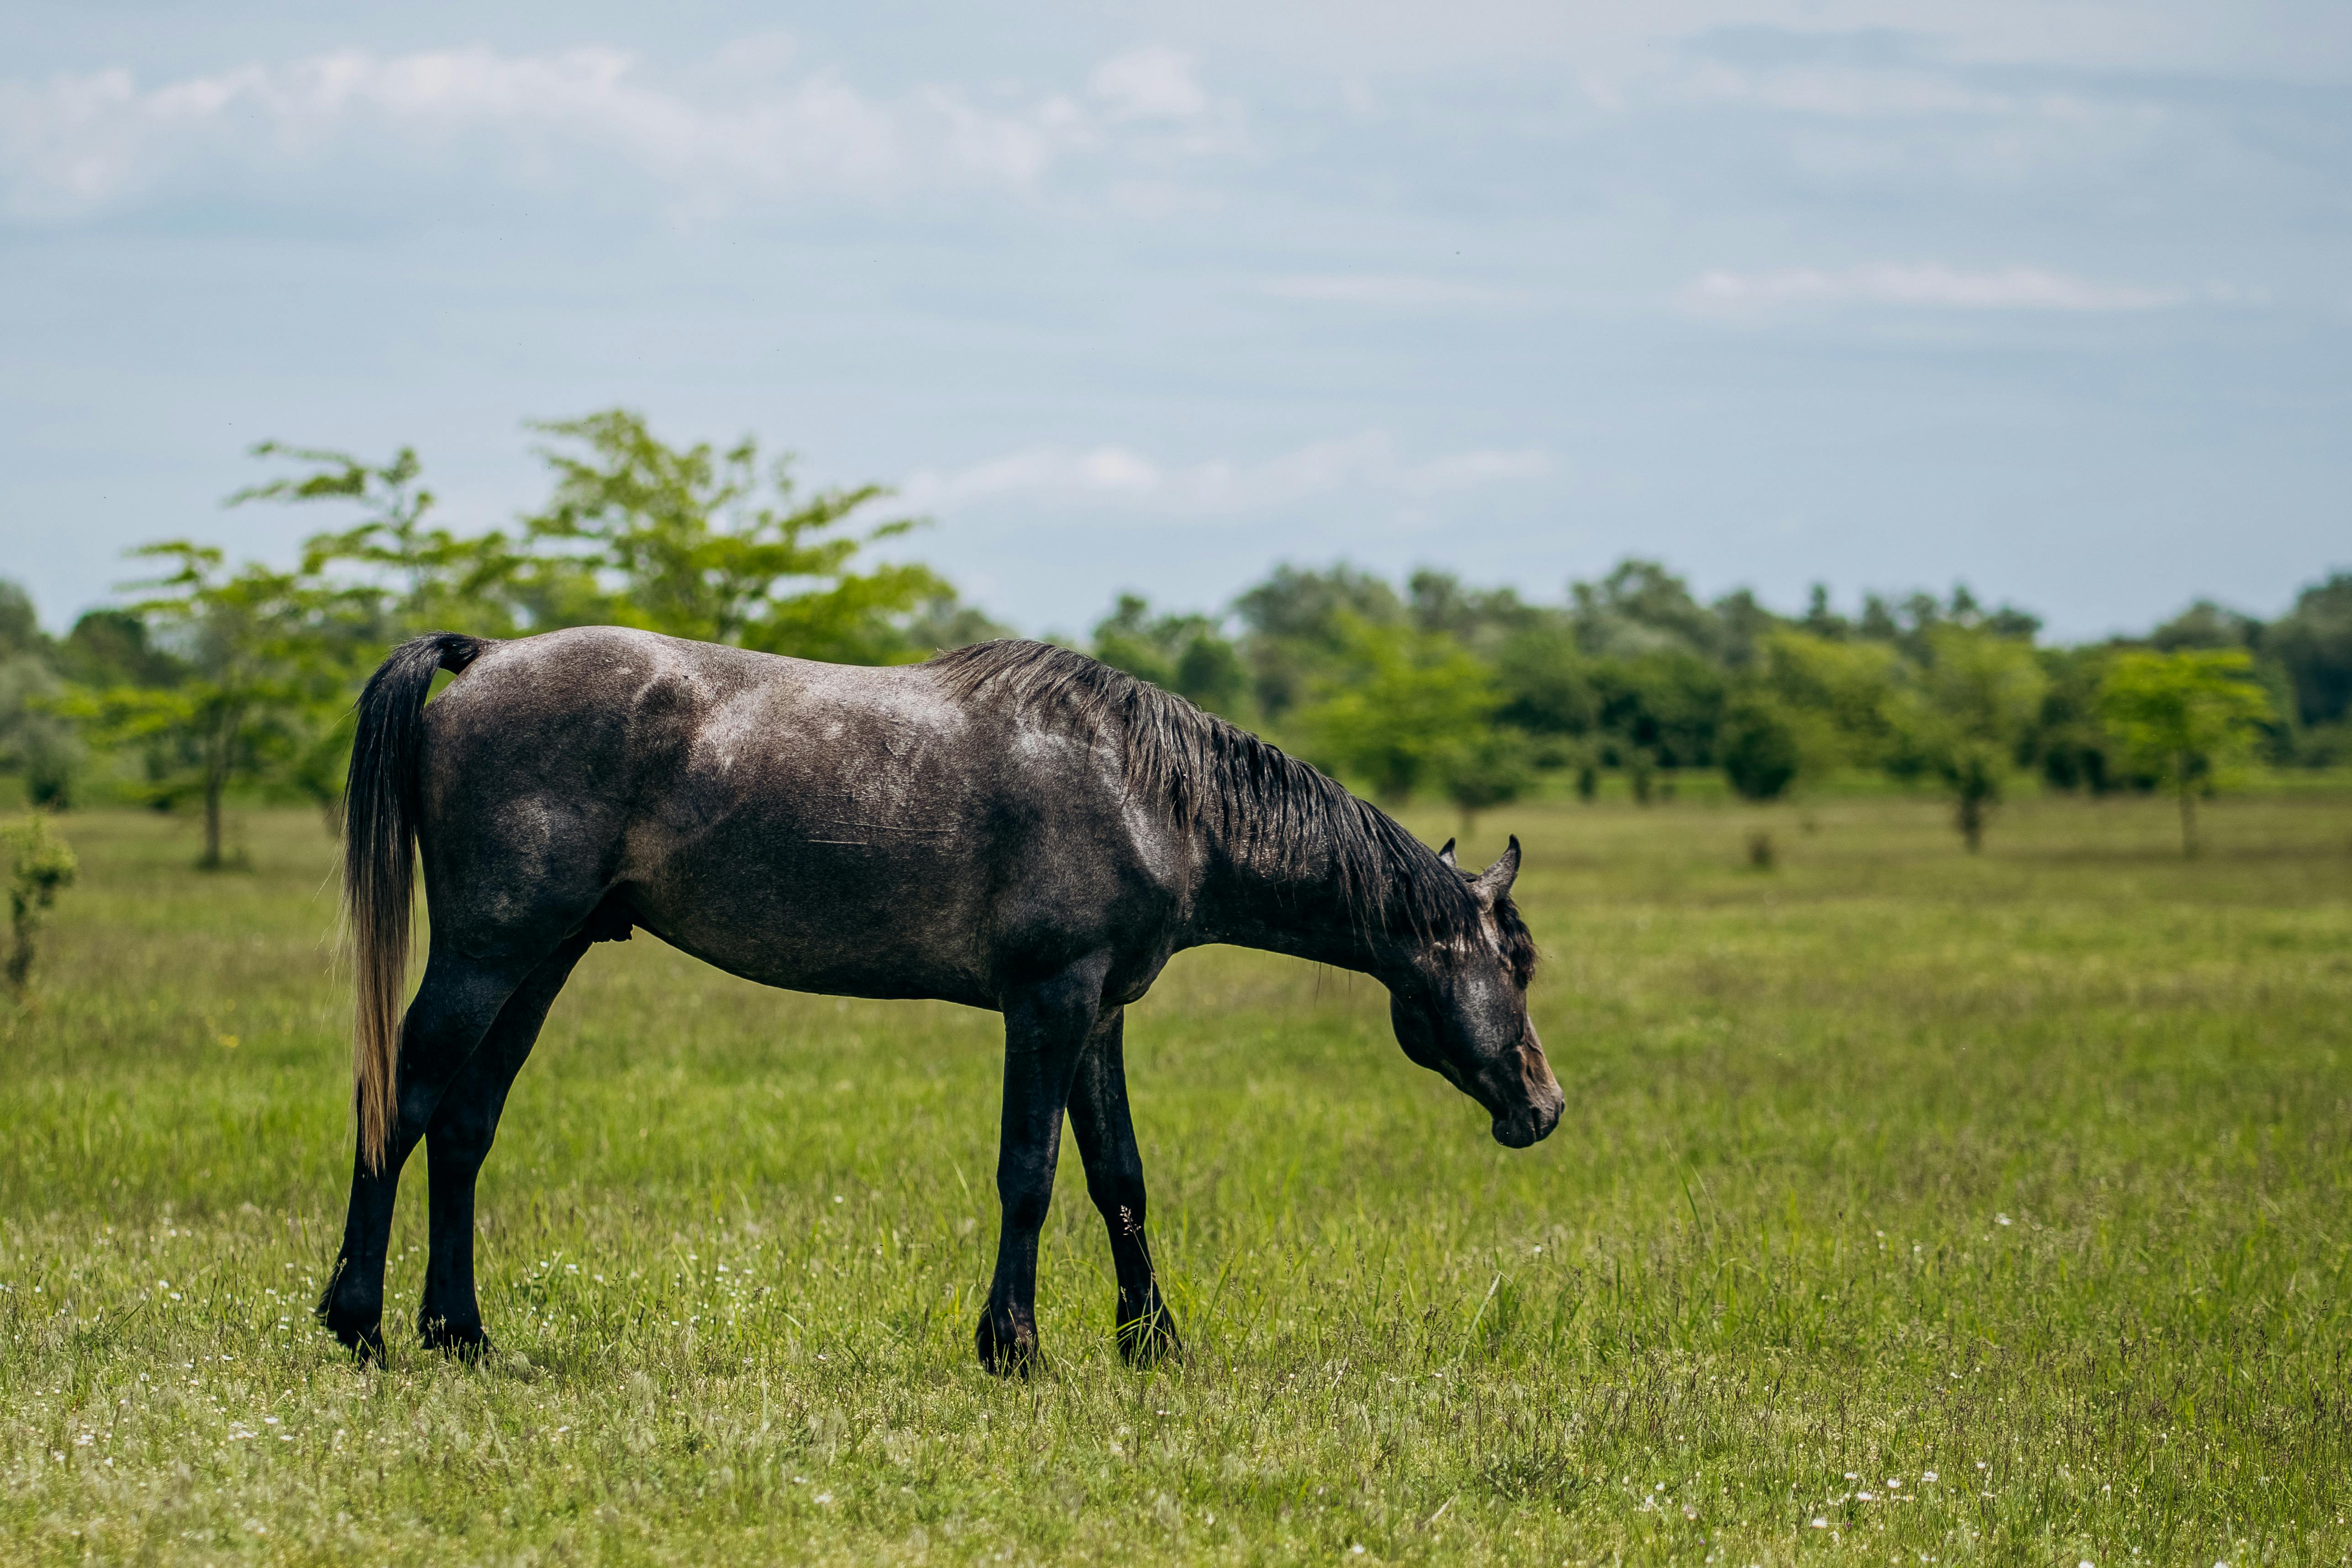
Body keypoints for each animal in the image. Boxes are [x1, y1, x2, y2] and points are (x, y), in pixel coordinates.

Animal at [319, 626, 1560, 1373]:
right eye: (1519, 960)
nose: (1543, 1107)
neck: (1148, 794)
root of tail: (481, 659)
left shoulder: (1101, 1013)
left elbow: (1119, 1178)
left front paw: (1150, 1341)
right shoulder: (1048, 1003)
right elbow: (1030, 1174)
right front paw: (1012, 1345)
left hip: (546, 957)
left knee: (465, 1125)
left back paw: (459, 1332)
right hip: (486, 952)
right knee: (402, 1102)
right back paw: (358, 1322)